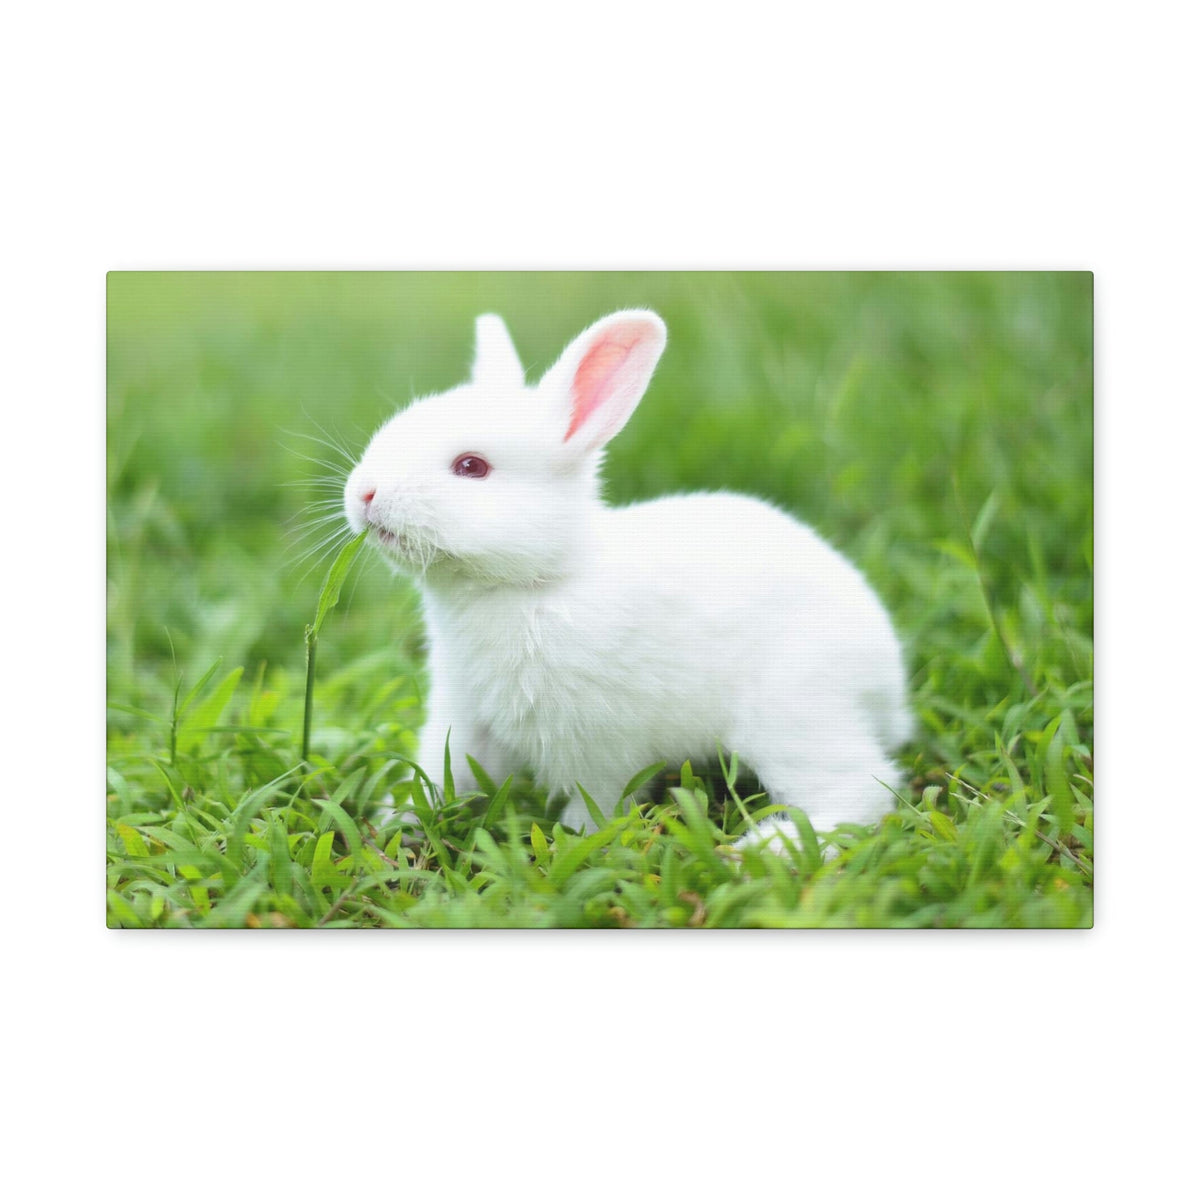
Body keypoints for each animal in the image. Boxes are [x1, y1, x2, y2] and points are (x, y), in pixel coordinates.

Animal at [343, 309, 912, 853]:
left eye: (471, 467)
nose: (365, 494)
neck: (535, 583)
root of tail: (888, 681)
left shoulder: (599, 746)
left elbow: (597, 803)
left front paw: (573, 842)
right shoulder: (464, 720)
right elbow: (440, 778)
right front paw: (394, 824)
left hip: (790, 714)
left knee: (860, 791)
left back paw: (761, 850)